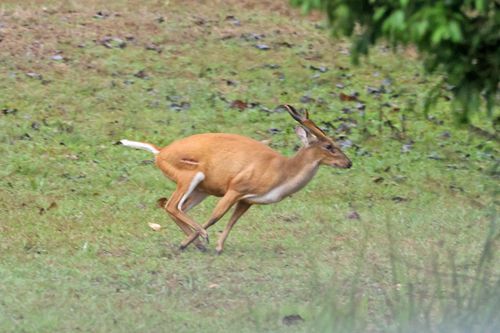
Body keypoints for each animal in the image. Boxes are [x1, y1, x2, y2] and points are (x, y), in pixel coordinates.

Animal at [119, 105, 352, 253]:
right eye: (329, 146)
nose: (348, 163)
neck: (281, 172)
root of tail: (160, 153)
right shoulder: (236, 187)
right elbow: (215, 217)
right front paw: (194, 241)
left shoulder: (247, 200)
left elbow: (232, 221)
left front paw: (217, 247)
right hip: (189, 175)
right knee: (171, 205)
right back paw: (198, 238)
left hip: (202, 189)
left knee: (170, 205)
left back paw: (198, 244)